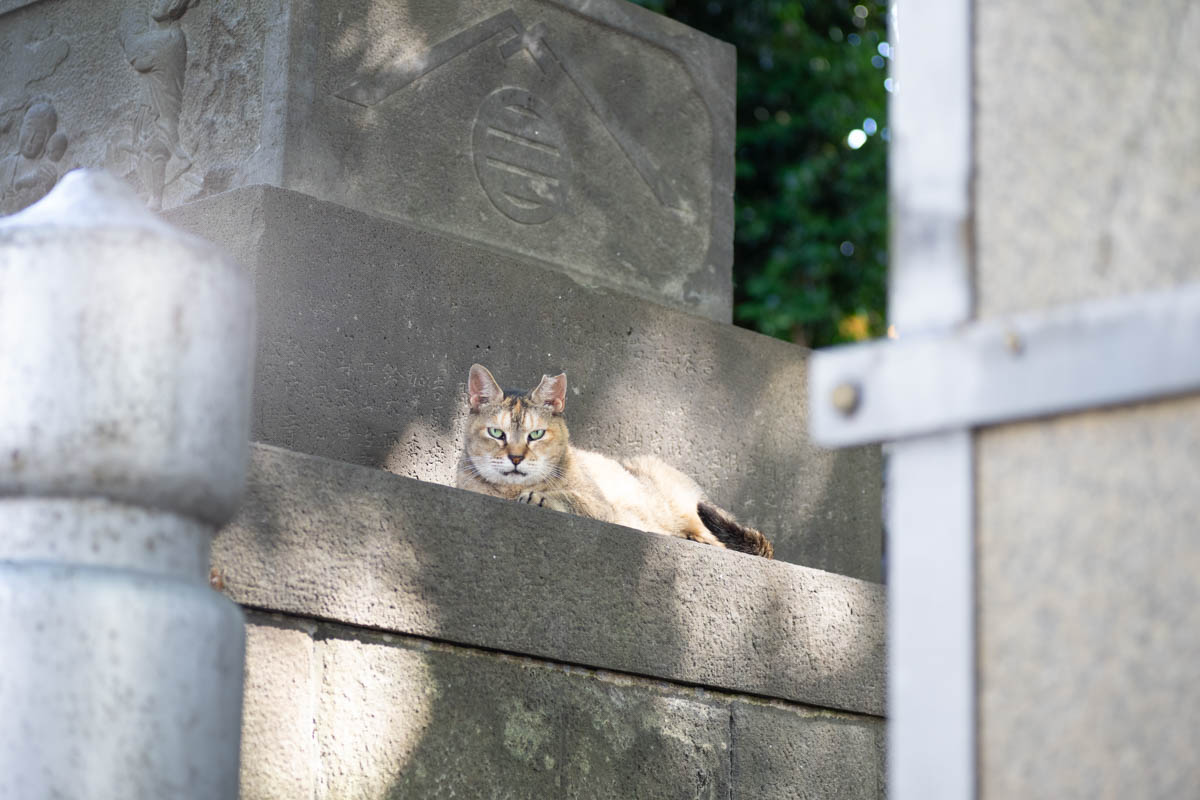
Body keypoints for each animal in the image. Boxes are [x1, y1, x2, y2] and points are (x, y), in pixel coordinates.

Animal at [453, 367, 772, 561]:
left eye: (536, 434)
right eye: (497, 433)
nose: (516, 458)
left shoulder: (603, 507)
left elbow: (572, 499)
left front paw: (540, 497)